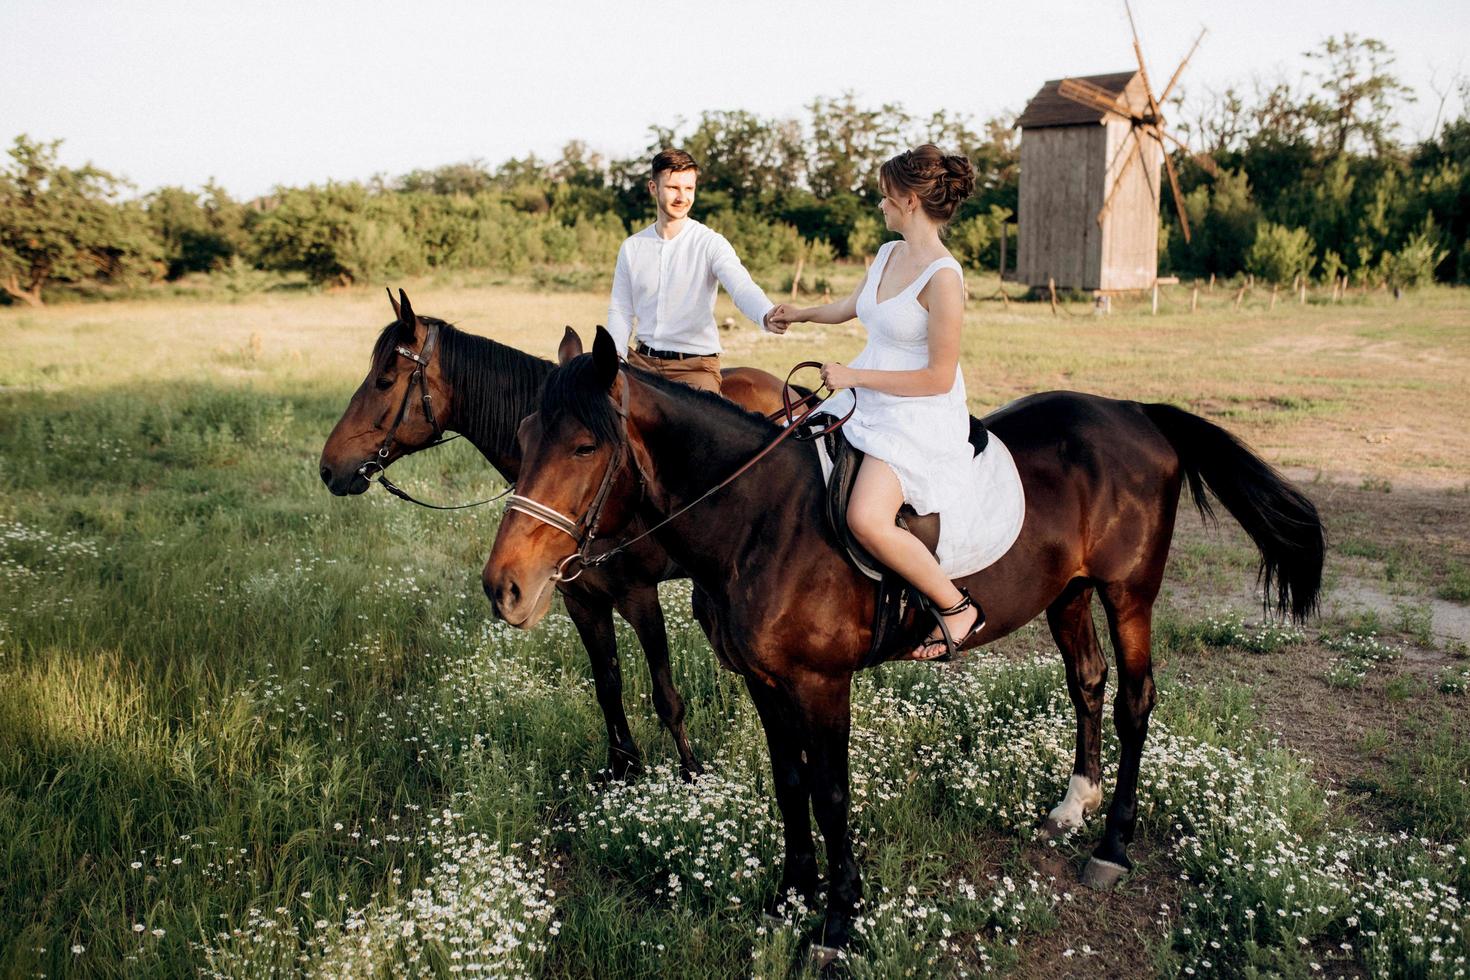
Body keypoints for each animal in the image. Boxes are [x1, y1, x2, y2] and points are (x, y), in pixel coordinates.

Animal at [321, 290, 799, 781]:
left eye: (383, 381)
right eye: (522, 434)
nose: (329, 468)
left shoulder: (639, 595)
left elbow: (666, 697)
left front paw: (690, 774)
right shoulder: (581, 600)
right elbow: (607, 686)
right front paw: (622, 768)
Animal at [482, 326, 1323, 952]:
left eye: (585, 448)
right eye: (522, 433)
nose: (505, 588)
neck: (761, 518)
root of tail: (1135, 411)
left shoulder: (822, 684)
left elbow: (830, 792)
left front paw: (838, 921)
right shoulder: (763, 680)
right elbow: (789, 784)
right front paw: (790, 893)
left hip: (1128, 595)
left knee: (1135, 703)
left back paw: (1112, 845)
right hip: (1070, 593)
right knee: (1088, 683)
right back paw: (1071, 805)